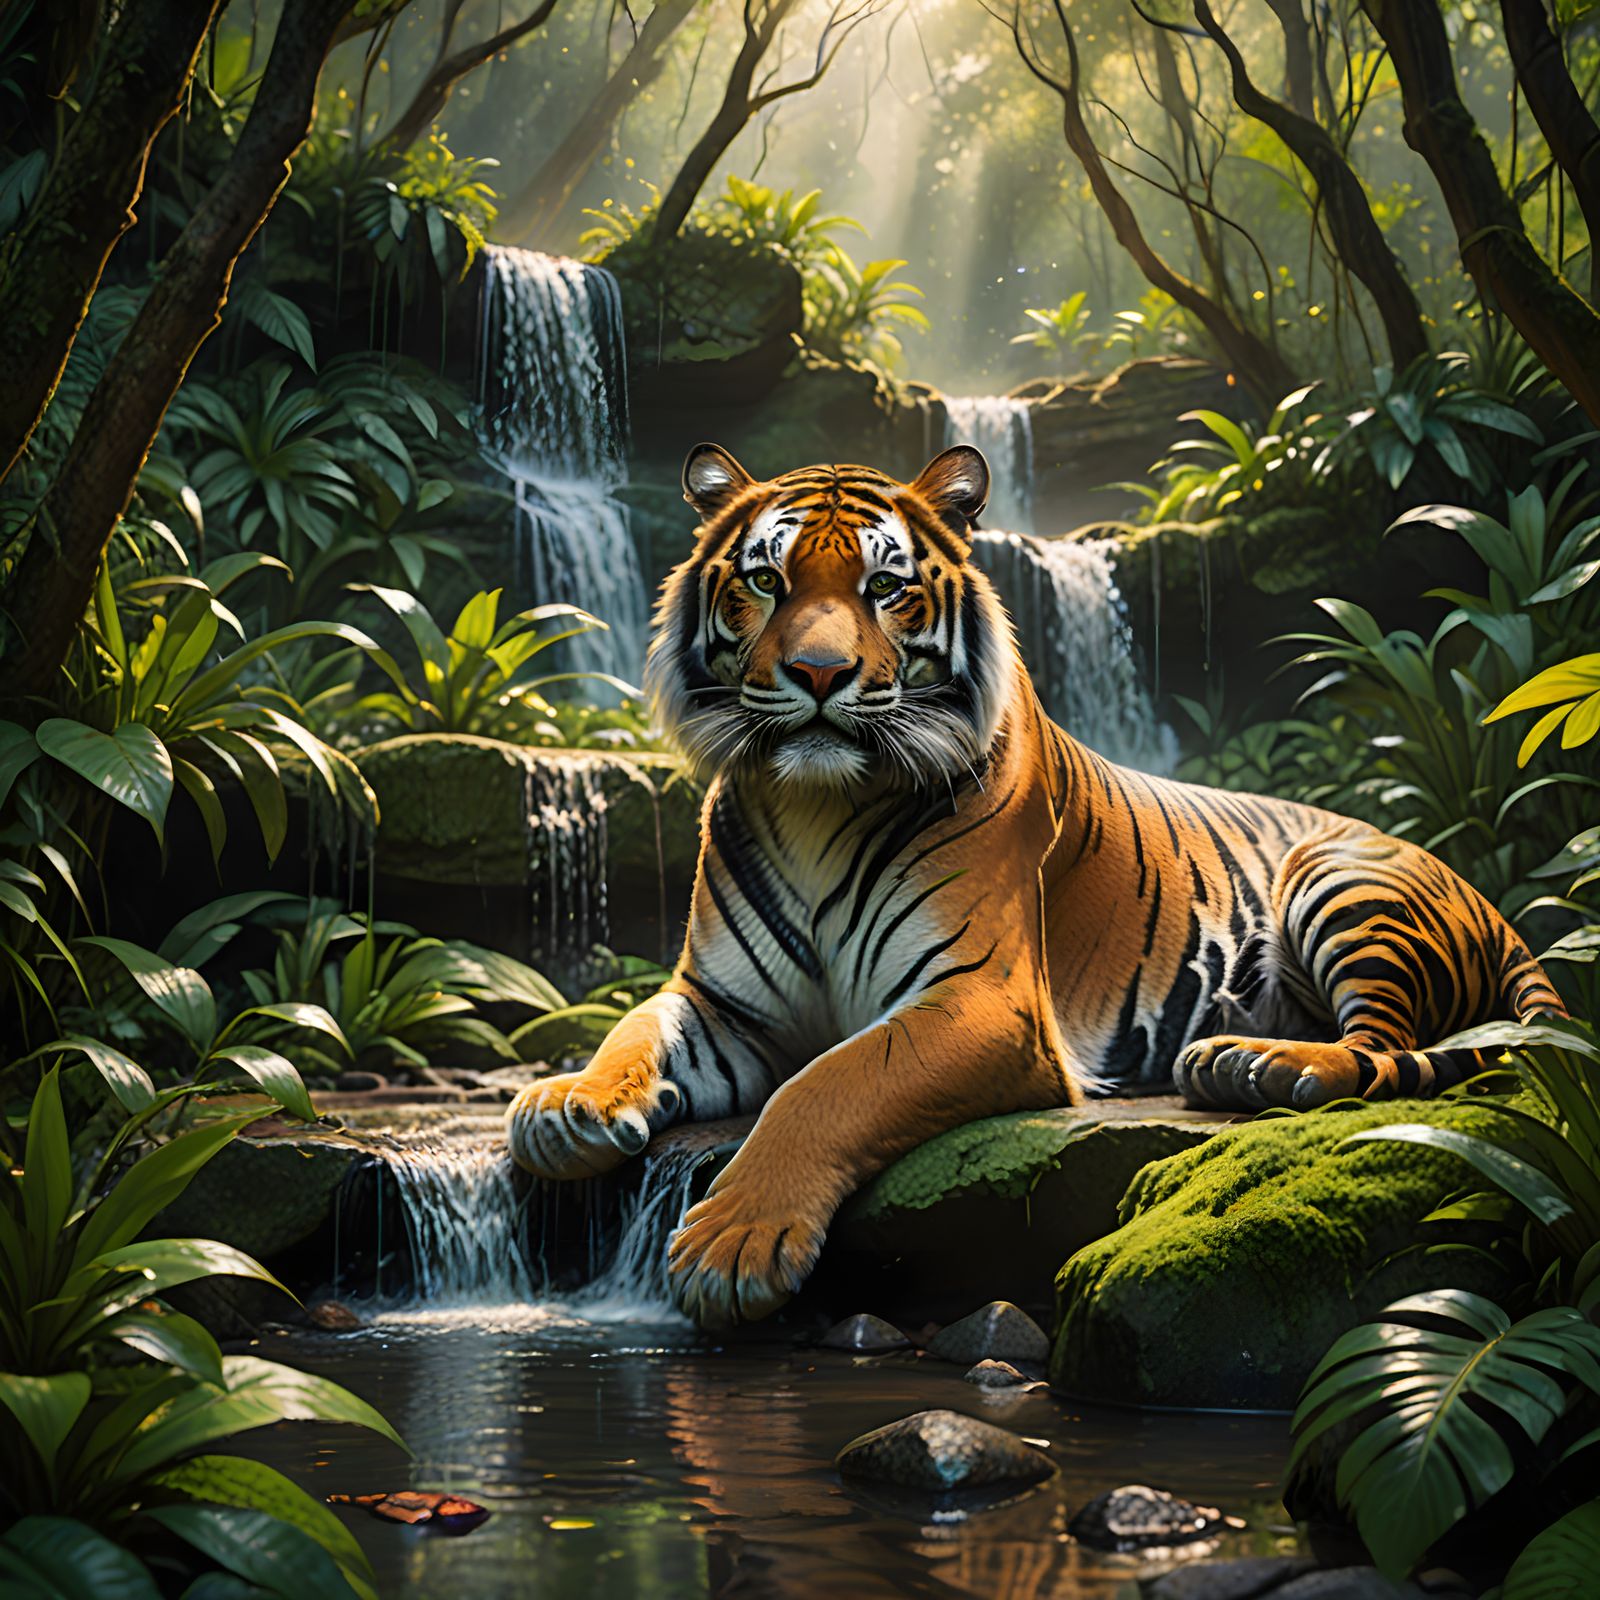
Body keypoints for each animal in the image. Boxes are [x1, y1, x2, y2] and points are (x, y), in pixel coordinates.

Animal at [506, 442, 1565, 1329]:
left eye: (884, 587)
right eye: (766, 581)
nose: (818, 672)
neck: (815, 803)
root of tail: (1494, 906)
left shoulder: (985, 999)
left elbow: (829, 1083)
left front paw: (733, 1244)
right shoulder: (726, 1005)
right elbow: (636, 1028)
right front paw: (568, 1107)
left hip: (1336, 879)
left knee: (1385, 1048)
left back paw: (1266, 1064)